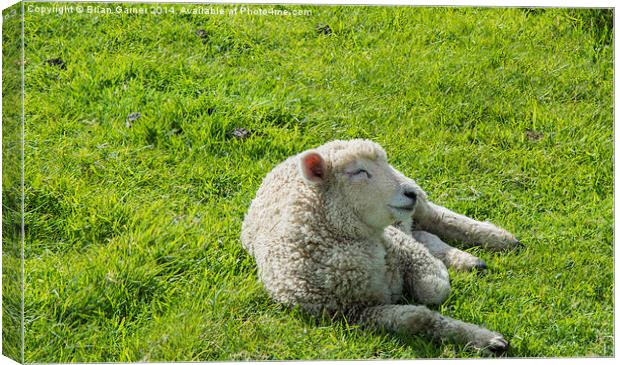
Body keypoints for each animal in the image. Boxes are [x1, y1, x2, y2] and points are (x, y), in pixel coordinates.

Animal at [240, 139, 520, 356]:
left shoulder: (400, 244)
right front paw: (486, 341)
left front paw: (441, 274)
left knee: (439, 218)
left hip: (415, 203)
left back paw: (500, 239)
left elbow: (433, 290)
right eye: (358, 172)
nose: (408, 193)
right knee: (424, 230)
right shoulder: (353, 314)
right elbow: (417, 318)